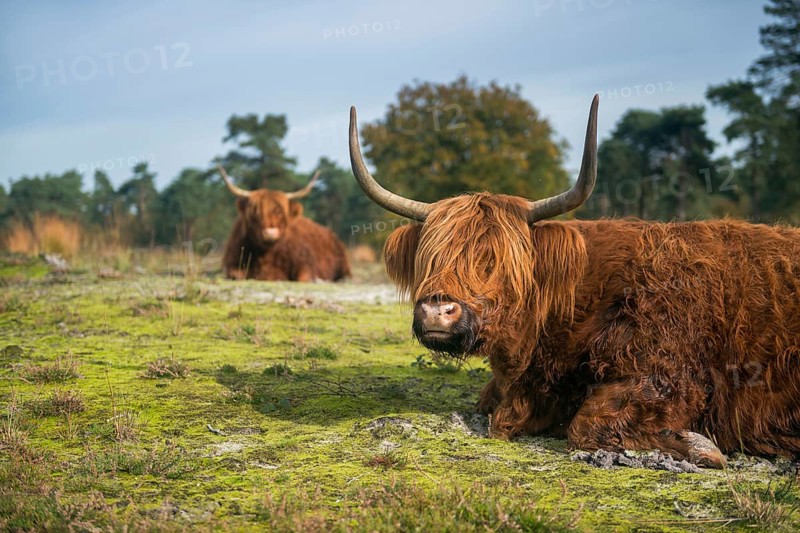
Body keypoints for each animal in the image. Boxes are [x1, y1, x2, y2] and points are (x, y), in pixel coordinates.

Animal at [219, 166, 351, 282]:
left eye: (281, 214)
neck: (266, 255)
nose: (270, 233)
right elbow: (236, 274)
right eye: (256, 213)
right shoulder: (232, 263)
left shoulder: (306, 264)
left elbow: (304, 278)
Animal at [348, 96, 800, 468]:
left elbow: (586, 425)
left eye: (500, 261)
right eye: (431, 257)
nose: (437, 311)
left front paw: (701, 447)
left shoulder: (666, 375)